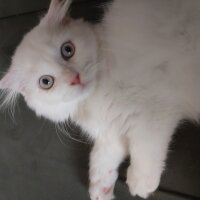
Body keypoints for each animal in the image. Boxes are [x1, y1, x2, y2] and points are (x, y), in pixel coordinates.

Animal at [0, 0, 200, 199]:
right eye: (46, 82)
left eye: (67, 50)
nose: (75, 78)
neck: (95, 95)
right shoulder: (111, 133)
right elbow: (100, 160)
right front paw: (100, 191)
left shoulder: (151, 114)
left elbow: (144, 150)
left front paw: (141, 183)